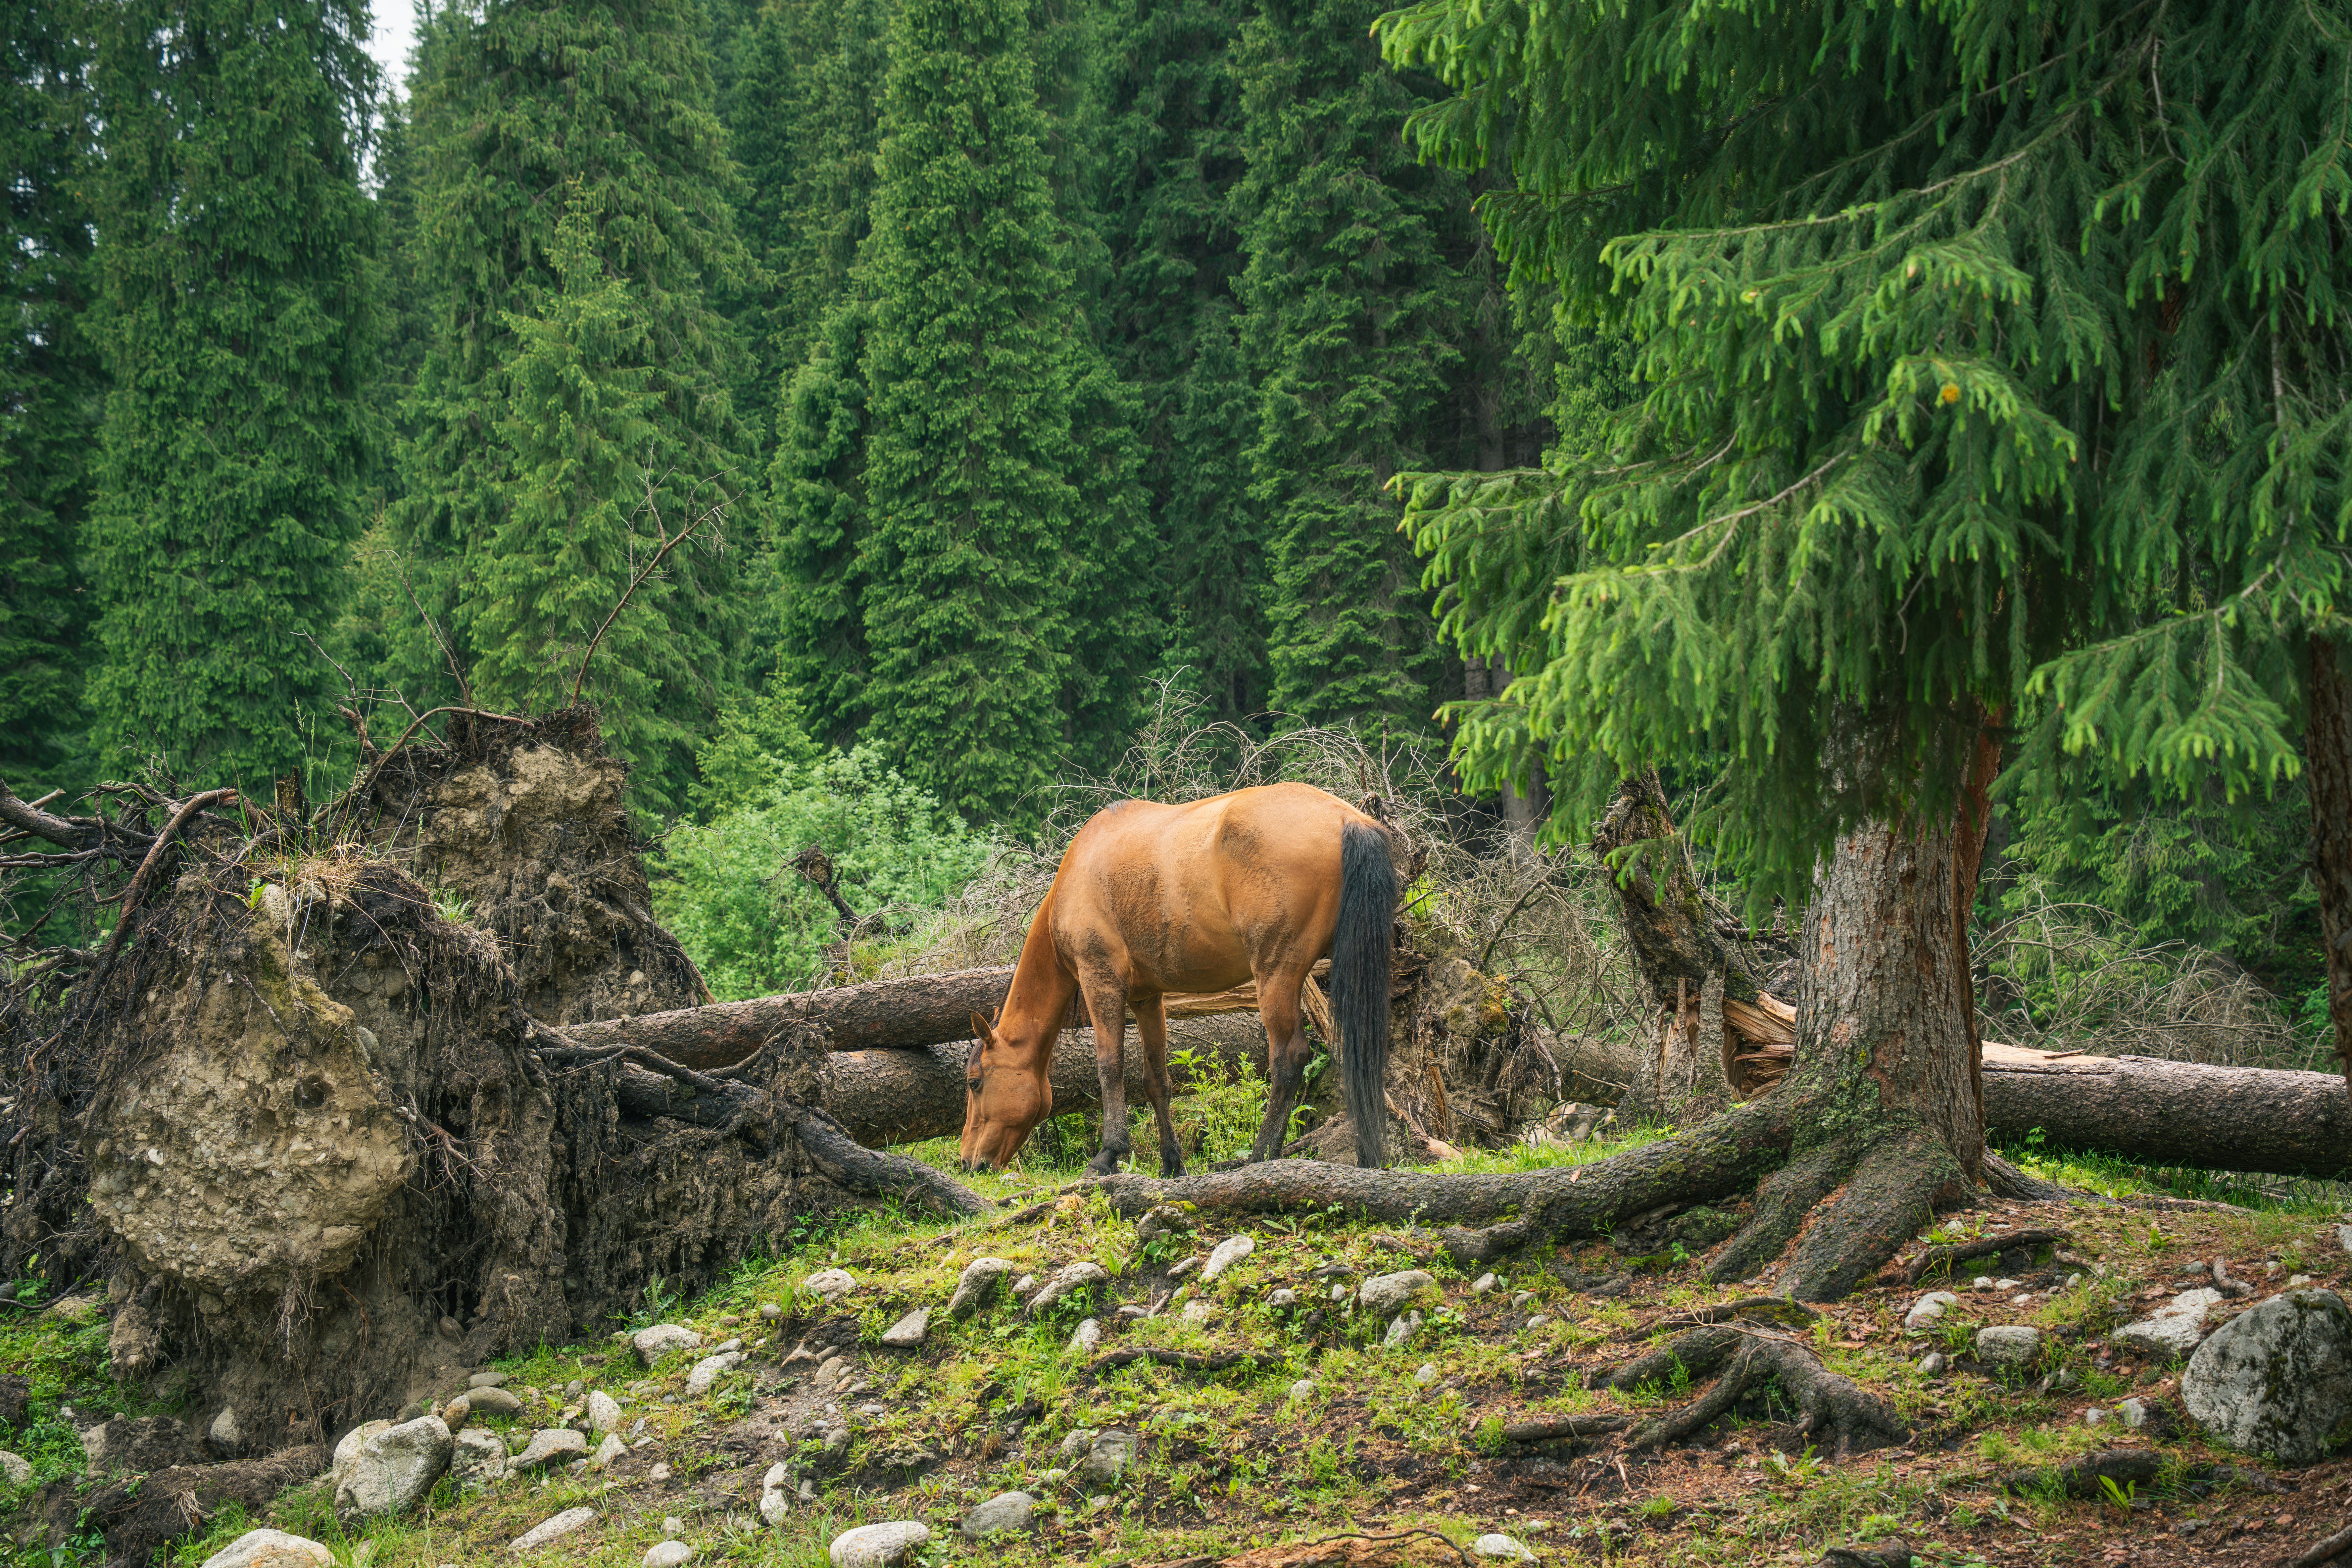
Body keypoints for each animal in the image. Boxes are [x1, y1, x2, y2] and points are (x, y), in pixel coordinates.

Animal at [958, 782, 1398, 1177]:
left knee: (1289, 1058)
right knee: (1360, 1050)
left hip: (1276, 973)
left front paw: (1108, 1154)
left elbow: (1110, 1065)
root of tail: (1349, 819)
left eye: (975, 1083)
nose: (966, 1162)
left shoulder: (1101, 981)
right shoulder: (1146, 997)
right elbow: (1157, 1079)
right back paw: (1368, 1156)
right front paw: (1172, 1162)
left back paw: (1261, 1155)